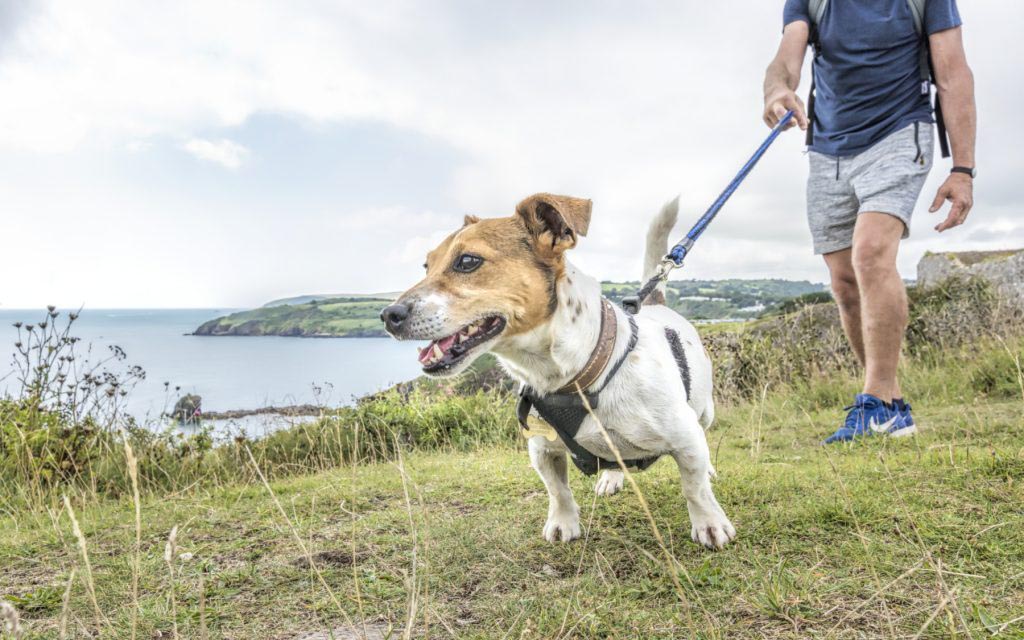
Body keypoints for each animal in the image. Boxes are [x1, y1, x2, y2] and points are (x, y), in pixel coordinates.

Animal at [380, 194, 733, 548]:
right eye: (427, 266)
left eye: (467, 261)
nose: (388, 315)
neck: (579, 376)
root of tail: (656, 304)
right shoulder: (541, 448)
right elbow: (558, 491)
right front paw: (563, 523)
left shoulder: (685, 438)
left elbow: (694, 488)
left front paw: (710, 524)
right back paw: (611, 477)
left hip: (705, 412)